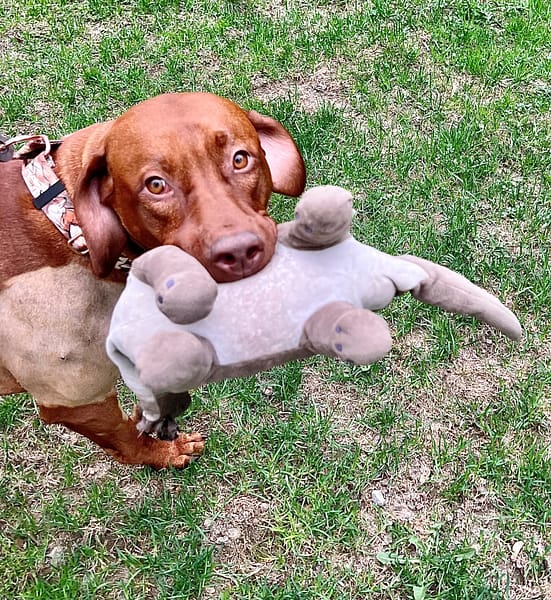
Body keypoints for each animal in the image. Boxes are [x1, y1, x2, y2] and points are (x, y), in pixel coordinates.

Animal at [0, 92, 306, 468]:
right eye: (156, 185)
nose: (238, 252)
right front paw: (163, 453)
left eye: (240, 159)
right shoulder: (76, 401)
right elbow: (126, 440)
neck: (69, 227)